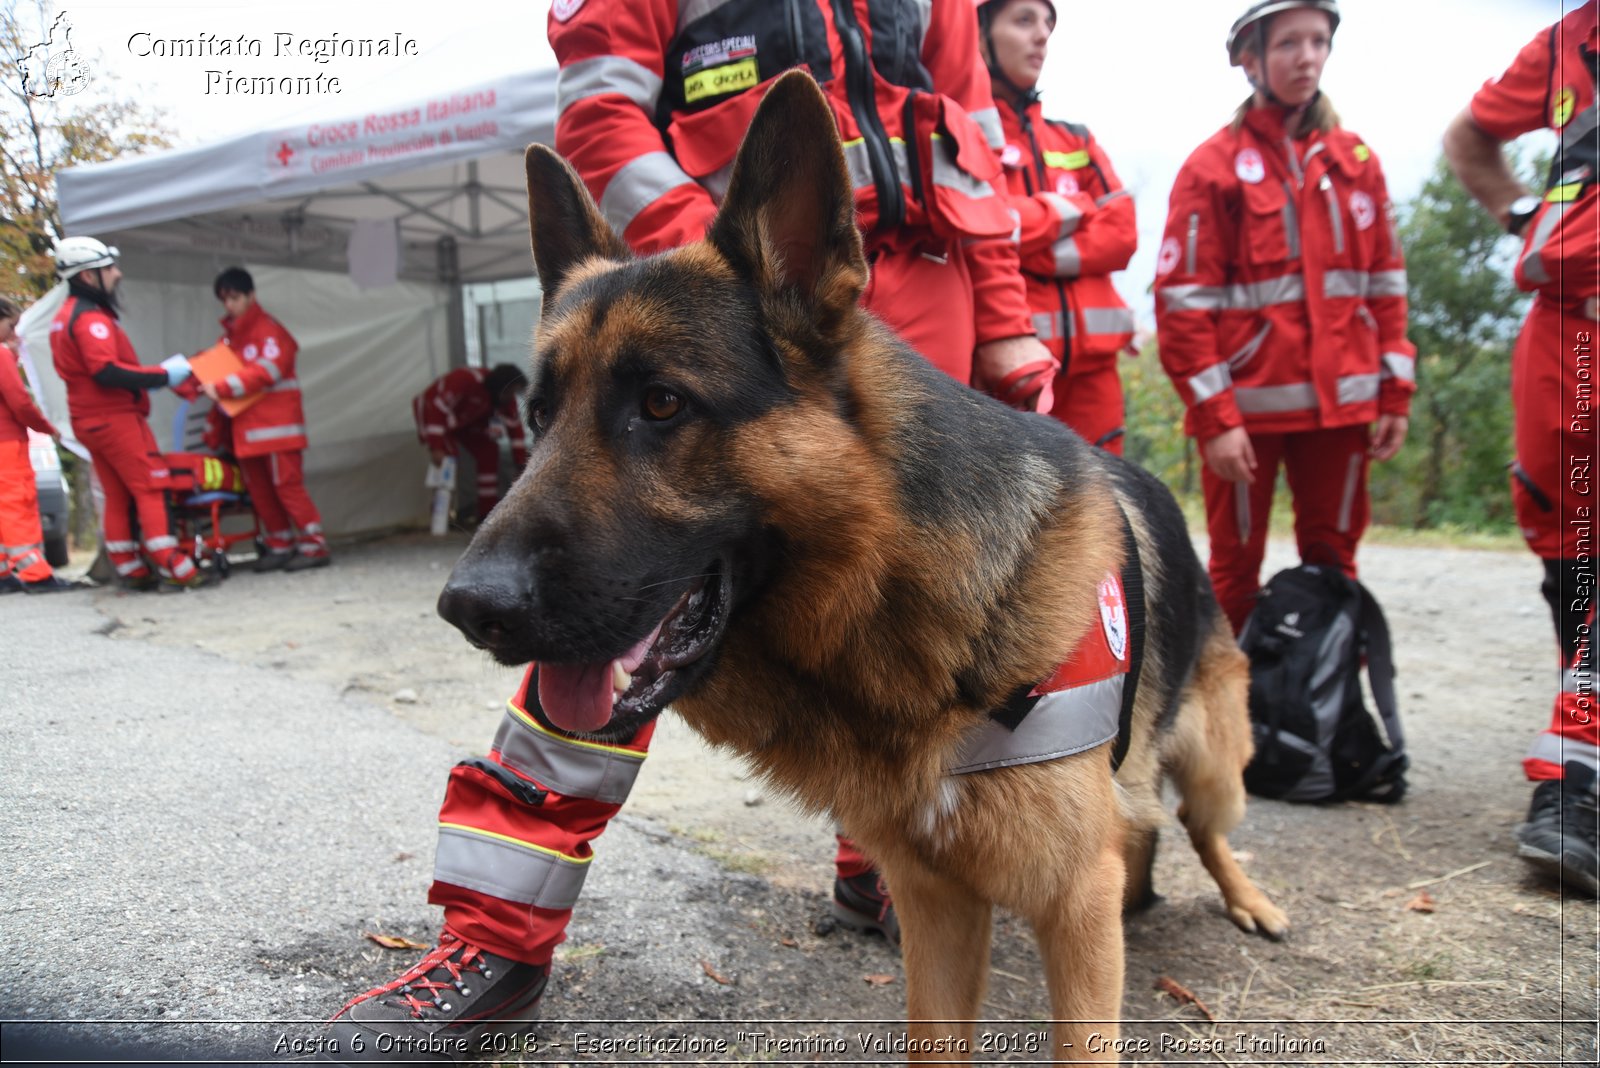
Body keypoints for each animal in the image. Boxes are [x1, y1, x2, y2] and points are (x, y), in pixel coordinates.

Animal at [438, 73, 1286, 1061]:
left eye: (662, 404)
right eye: (537, 416)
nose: (468, 607)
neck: (896, 595)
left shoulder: (1075, 910)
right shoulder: (937, 903)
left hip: (1216, 765)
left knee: (1206, 828)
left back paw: (1250, 900)